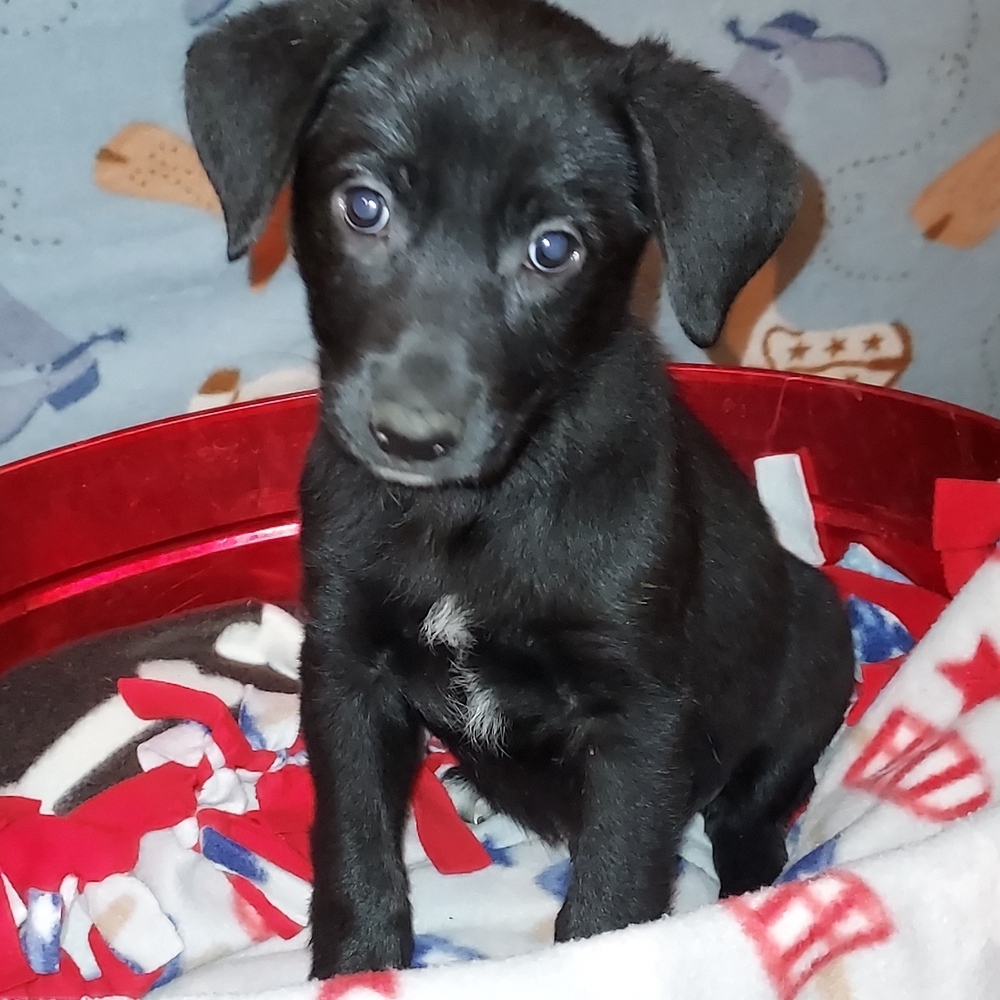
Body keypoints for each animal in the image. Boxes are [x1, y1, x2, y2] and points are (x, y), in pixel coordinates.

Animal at [186, 0, 852, 980]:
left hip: (815, 643)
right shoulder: (345, 663)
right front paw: (360, 968)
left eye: (553, 250)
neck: (468, 513)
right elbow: (353, 841)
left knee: (755, 801)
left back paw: (755, 888)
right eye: (363, 206)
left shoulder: (640, 717)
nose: (408, 435)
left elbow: (613, 892)